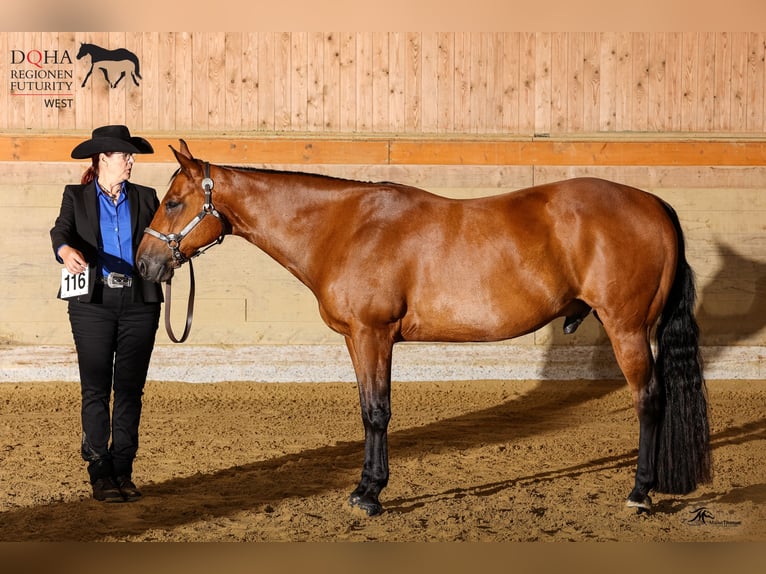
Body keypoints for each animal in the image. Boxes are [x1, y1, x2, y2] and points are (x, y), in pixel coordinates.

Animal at [136, 140, 711, 517]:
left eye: (174, 202)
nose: (143, 263)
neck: (345, 228)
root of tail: (656, 205)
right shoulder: (357, 339)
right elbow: (367, 409)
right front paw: (366, 488)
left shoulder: (373, 335)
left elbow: (377, 412)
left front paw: (369, 495)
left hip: (628, 329)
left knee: (649, 400)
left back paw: (640, 492)